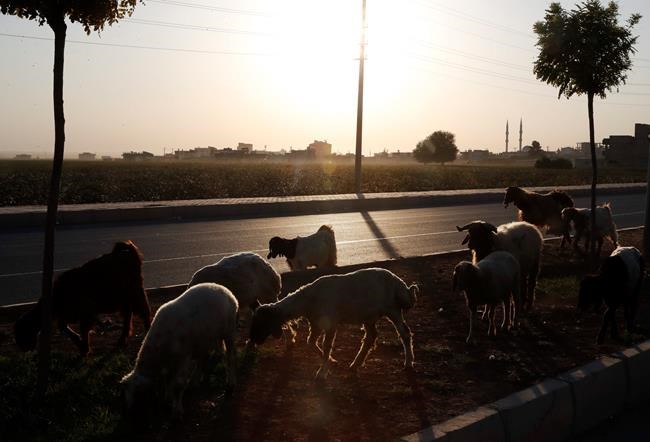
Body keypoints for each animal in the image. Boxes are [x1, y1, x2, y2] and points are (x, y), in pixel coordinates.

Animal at [14, 240, 150, 355]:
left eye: (22, 332)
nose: (24, 349)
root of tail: (129, 252)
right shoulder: (70, 314)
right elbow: (62, 326)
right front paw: (80, 344)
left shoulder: (87, 312)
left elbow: (83, 329)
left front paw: (84, 348)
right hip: (125, 300)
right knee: (128, 317)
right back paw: (122, 340)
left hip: (135, 293)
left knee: (144, 312)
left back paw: (147, 332)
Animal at [121, 283, 238, 421]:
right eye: (125, 394)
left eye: (137, 395)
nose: (128, 415)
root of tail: (225, 289)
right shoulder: (171, 361)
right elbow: (168, 379)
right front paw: (168, 398)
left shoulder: (183, 357)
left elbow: (178, 384)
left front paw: (177, 411)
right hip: (207, 336)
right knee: (207, 356)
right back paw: (195, 380)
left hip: (229, 331)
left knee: (230, 358)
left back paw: (230, 384)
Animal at [249, 268, 418, 380]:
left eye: (261, 323)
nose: (253, 340)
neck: (307, 300)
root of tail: (400, 284)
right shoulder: (316, 324)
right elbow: (311, 342)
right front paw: (331, 361)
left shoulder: (329, 323)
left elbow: (326, 345)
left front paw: (322, 371)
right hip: (368, 316)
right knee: (371, 337)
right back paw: (355, 364)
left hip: (393, 309)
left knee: (404, 333)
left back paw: (408, 362)